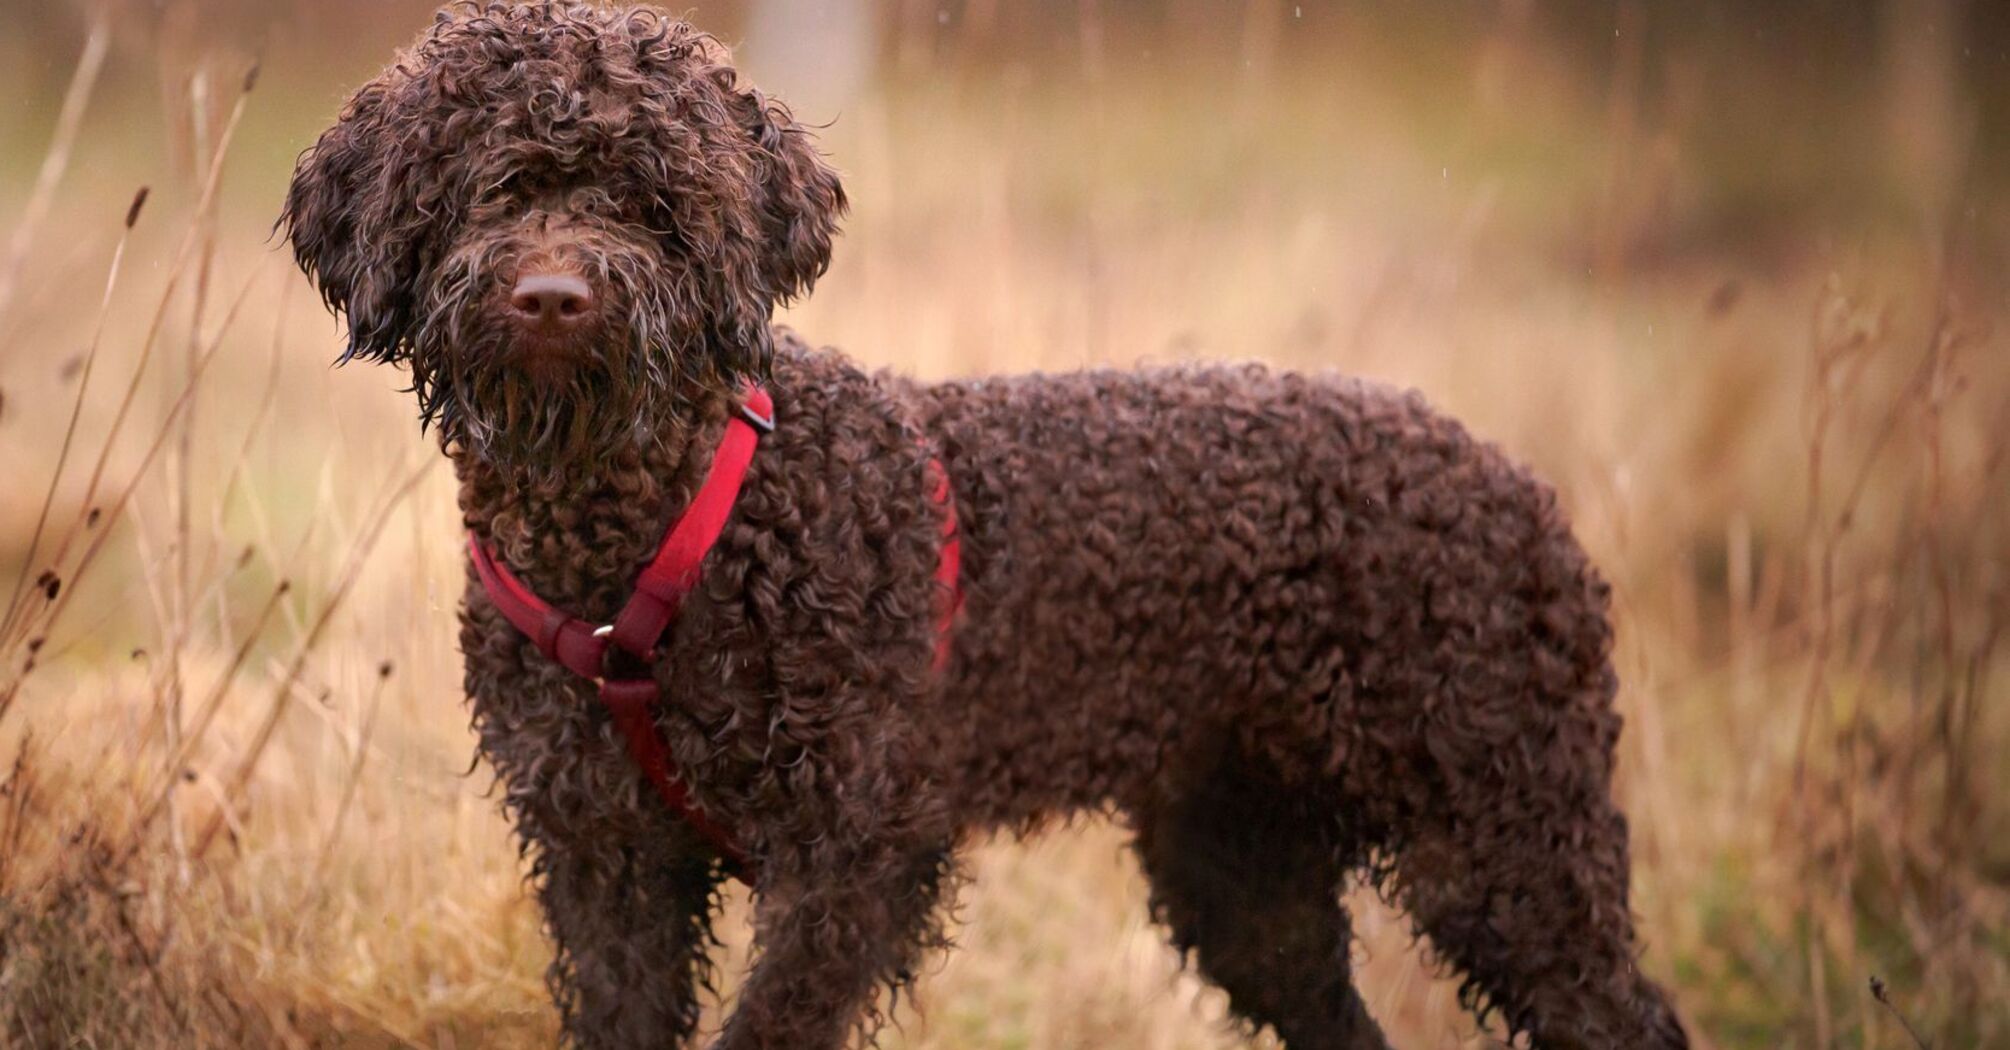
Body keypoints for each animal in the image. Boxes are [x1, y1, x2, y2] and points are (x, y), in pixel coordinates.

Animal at [279, 4, 1696, 1037]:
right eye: (485, 188)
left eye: (653, 200)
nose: (553, 298)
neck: (655, 543)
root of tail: (1526, 493)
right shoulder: (603, 861)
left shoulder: (854, 863)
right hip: (1246, 871)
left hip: (1502, 839)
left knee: (1621, 1015)